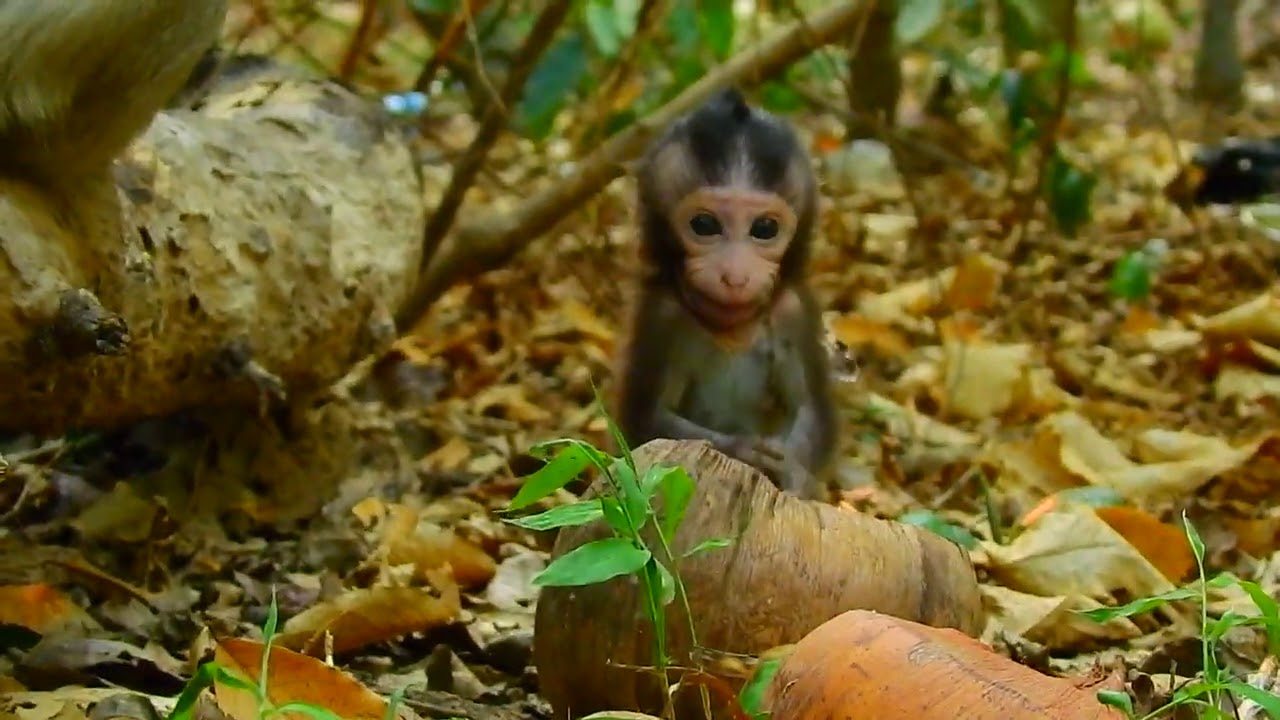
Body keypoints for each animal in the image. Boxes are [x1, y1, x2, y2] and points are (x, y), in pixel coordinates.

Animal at [611, 87, 838, 501]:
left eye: (764, 228)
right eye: (705, 224)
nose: (735, 276)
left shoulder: (793, 310)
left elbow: (810, 409)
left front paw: (793, 472)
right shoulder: (659, 314)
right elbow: (646, 420)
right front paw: (743, 449)